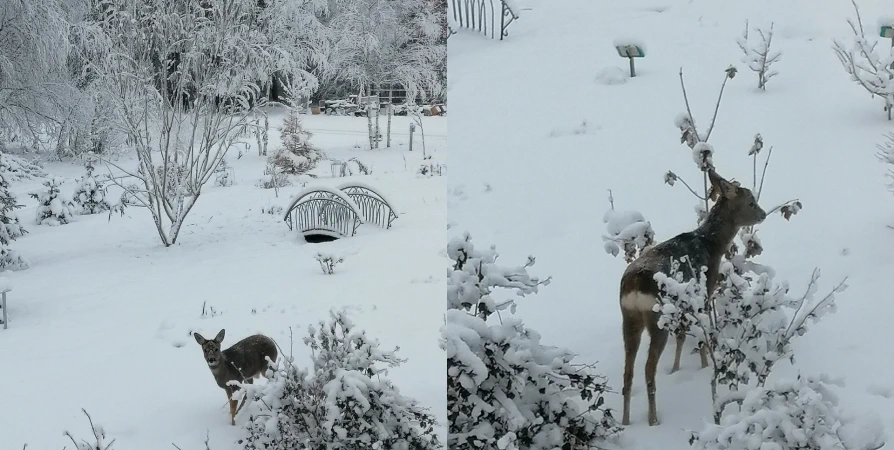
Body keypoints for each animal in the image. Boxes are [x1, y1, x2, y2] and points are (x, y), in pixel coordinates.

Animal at [620, 169, 768, 426]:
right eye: (750, 201)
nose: (763, 214)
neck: (712, 244)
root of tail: (635, 285)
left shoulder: (684, 303)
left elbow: (681, 336)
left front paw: (676, 368)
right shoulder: (704, 290)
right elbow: (701, 334)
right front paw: (705, 365)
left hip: (628, 318)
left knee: (627, 372)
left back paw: (625, 421)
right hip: (657, 318)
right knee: (648, 368)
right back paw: (653, 419)